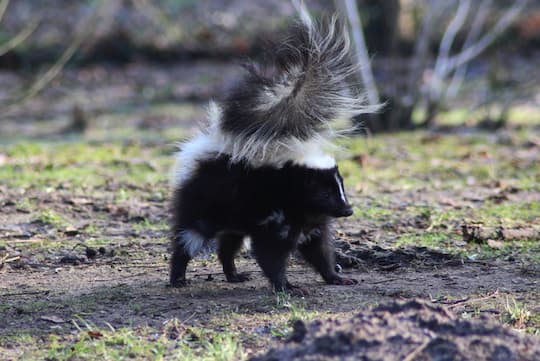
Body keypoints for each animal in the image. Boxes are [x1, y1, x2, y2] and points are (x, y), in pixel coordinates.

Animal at [169, 7, 376, 292]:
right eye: (324, 193)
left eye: (342, 188)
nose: (348, 210)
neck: (303, 210)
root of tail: (219, 147)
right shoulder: (275, 218)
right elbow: (271, 253)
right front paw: (286, 286)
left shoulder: (311, 224)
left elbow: (319, 251)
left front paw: (335, 276)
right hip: (206, 206)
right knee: (189, 237)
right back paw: (177, 277)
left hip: (235, 215)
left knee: (228, 244)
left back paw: (233, 274)